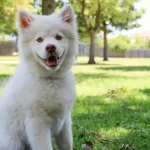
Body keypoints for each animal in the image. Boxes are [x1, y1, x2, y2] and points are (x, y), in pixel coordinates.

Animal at [0, 4, 77, 149]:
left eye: (58, 37)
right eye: (39, 40)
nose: (50, 47)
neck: (50, 79)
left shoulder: (65, 121)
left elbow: (67, 144)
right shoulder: (37, 123)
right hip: (12, 143)